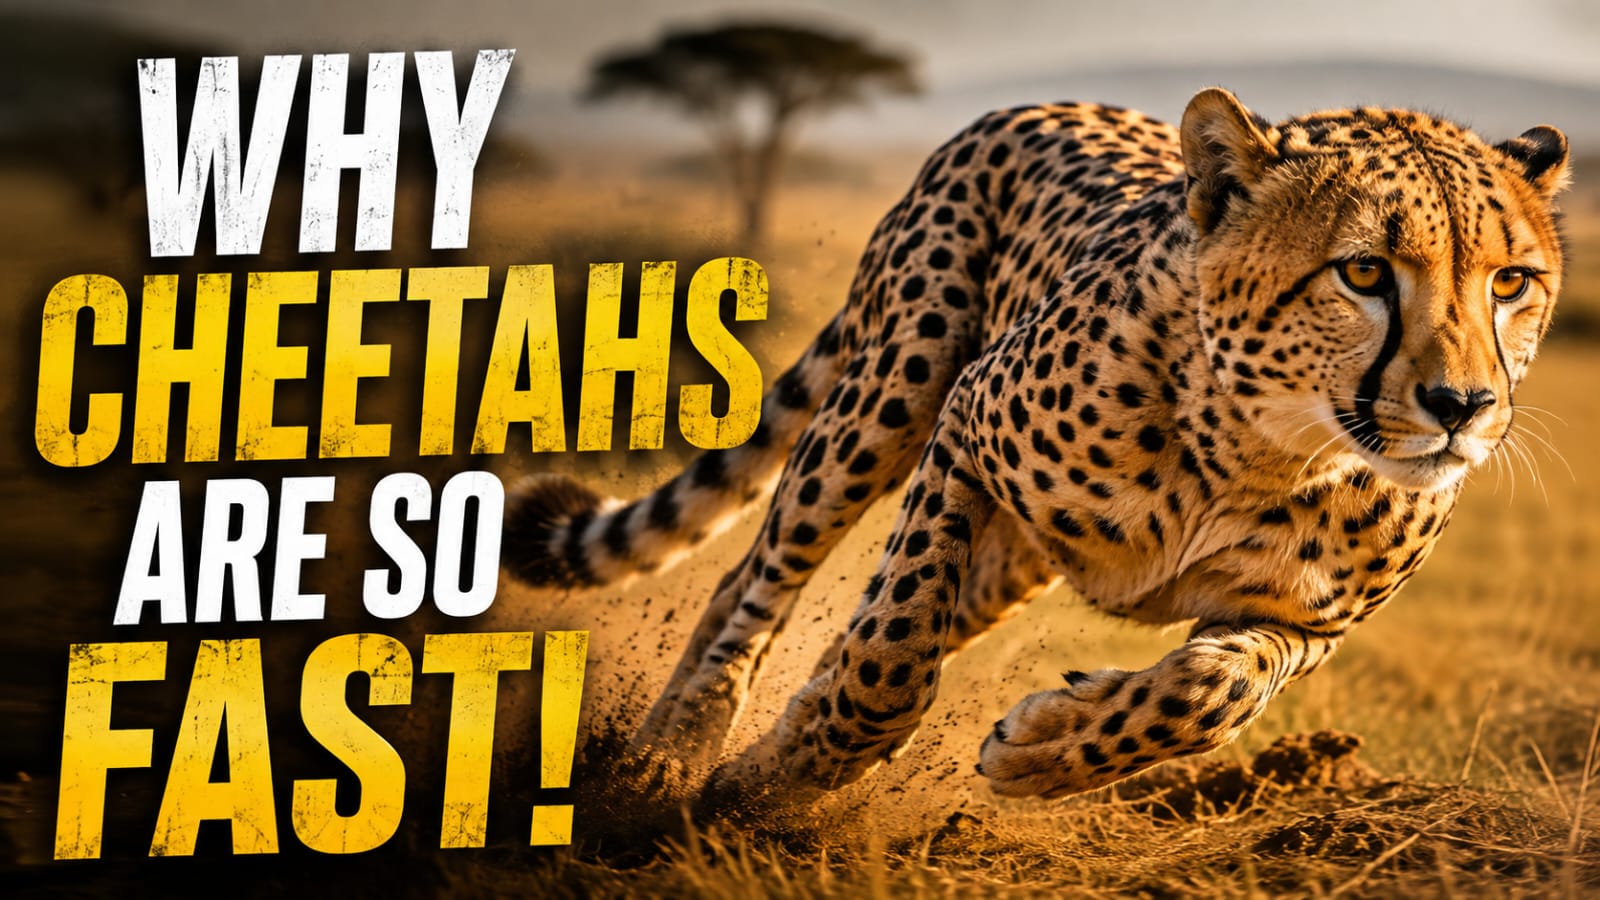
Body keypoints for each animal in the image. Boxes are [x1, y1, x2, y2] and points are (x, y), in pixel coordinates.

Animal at [502, 88, 1569, 801]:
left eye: (1511, 282)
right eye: (1365, 272)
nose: (1464, 405)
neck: (1267, 451)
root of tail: (1039, 103)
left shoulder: (1307, 625)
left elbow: (1208, 693)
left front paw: (1048, 748)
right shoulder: (966, 425)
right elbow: (892, 651)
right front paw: (798, 768)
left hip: (1011, 559)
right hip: (896, 385)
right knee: (755, 581)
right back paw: (669, 756)